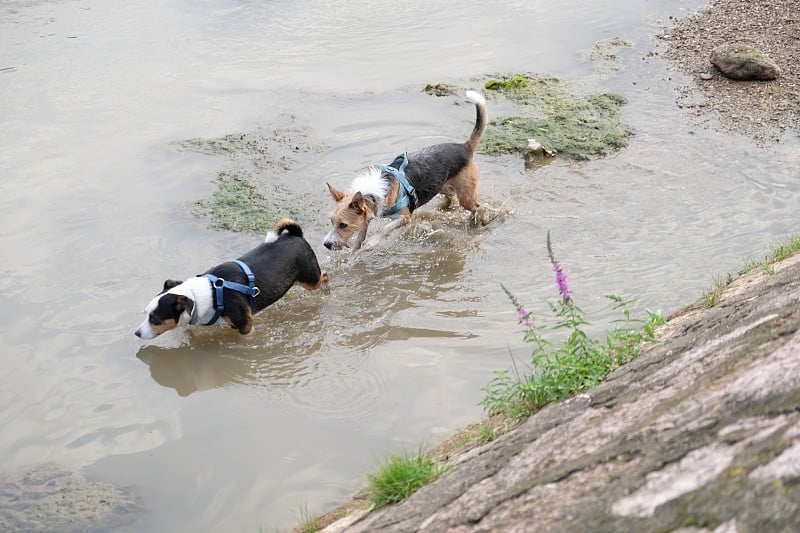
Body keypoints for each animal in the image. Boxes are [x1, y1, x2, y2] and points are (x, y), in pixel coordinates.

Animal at [136, 218, 326, 338]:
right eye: (146, 314)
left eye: (155, 319)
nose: (137, 333)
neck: (210, 294)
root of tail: (295, 234)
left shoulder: (245, 323)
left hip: (311, 279)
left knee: (324, 276)